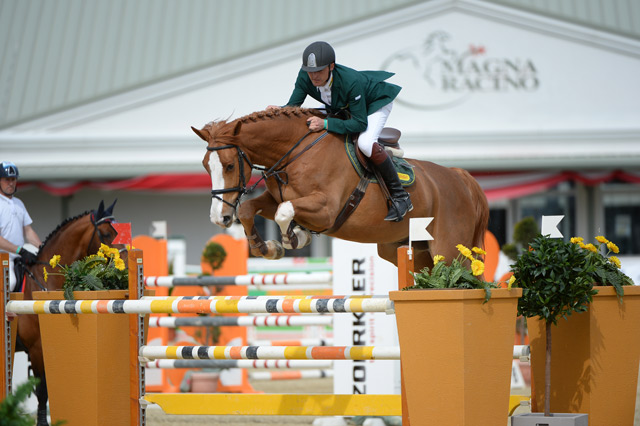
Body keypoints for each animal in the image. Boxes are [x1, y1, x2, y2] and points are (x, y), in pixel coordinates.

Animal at [192, 108, 488, 272]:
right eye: (206, 165)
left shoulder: (326, 209)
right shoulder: (275, 197)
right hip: (407, 250)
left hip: (449, 251)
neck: (296, 152)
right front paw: (266, 247)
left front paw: (294, 238)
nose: (219, 218)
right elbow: (247, 208)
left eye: (230, 165)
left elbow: (284, 212)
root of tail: (460, 177)